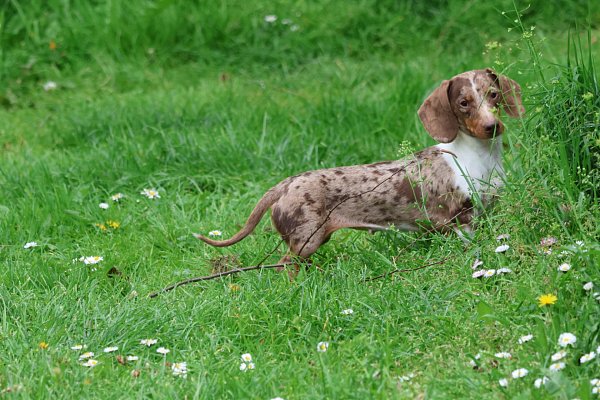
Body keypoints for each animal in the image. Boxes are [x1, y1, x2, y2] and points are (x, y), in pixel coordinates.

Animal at [196, 69, 520, 268]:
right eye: (464, 102)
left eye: (493, 94)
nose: (492, 127)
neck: (477, 157)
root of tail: (286, 184)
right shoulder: (462, 220)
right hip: (306, 239)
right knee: (286, 265)